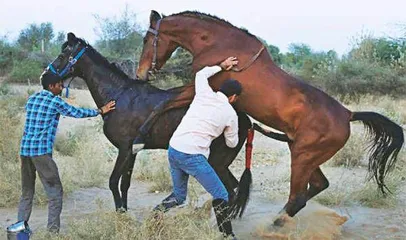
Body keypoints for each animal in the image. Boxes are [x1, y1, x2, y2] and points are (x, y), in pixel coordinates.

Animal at [135, 10, 404, 225]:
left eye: (147, 39)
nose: (141, 74)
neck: (217, 44)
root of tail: (348, 115)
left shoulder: (199, 88)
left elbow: (164, 103)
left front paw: (139, 137)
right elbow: (166, 100)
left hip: (302, 158)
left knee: (298, 197)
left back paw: (275, 223)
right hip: (304, 154)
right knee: (317, 186)